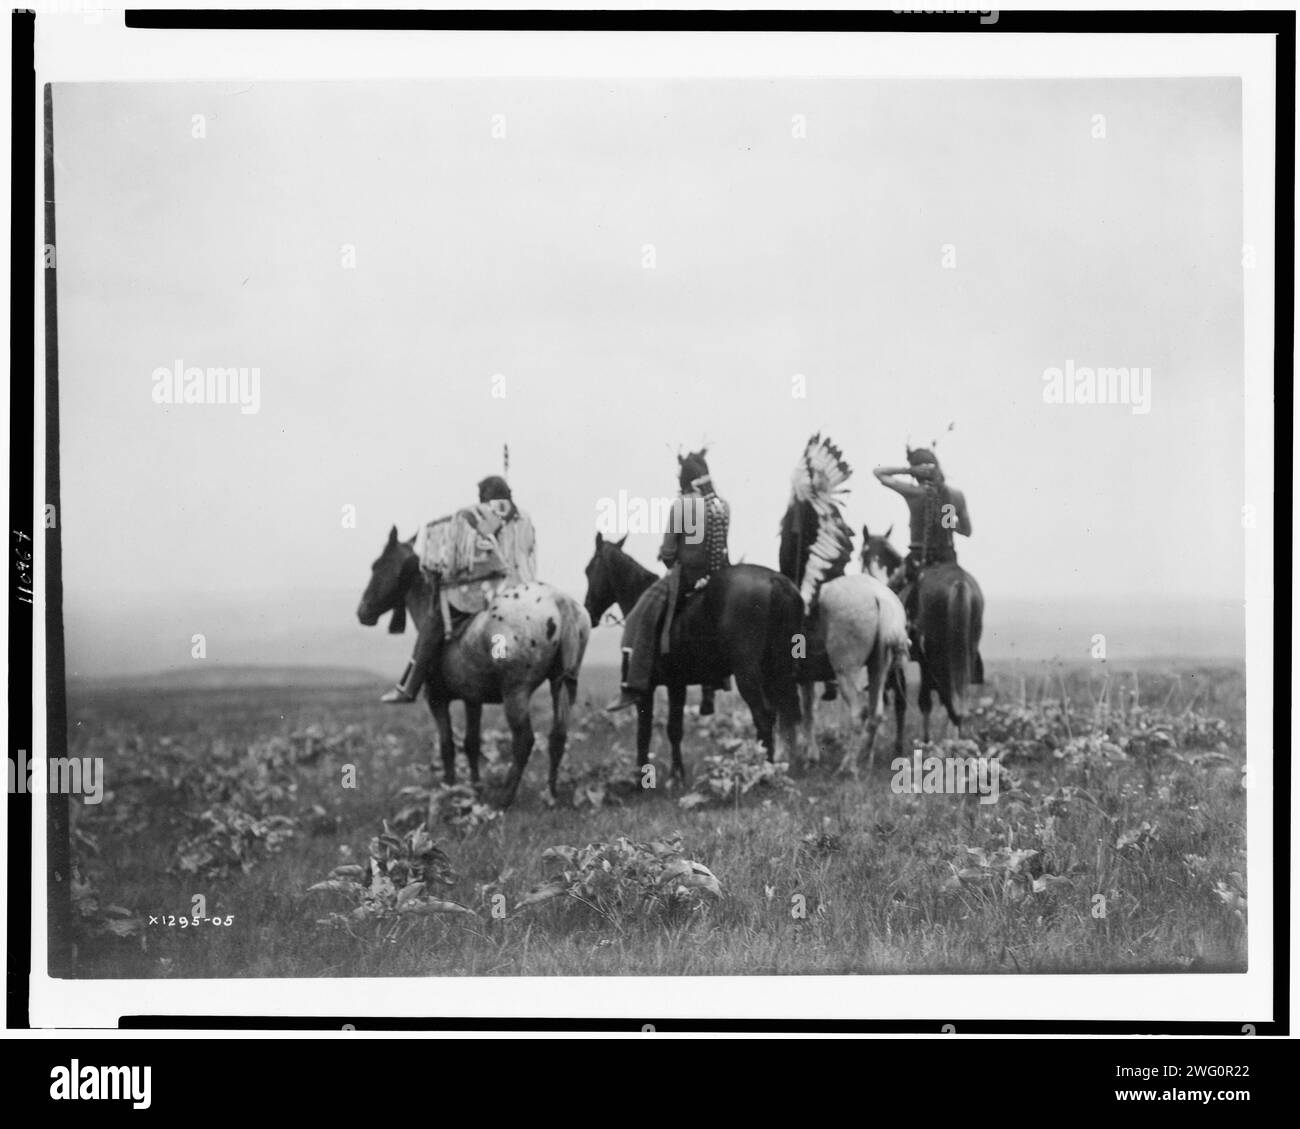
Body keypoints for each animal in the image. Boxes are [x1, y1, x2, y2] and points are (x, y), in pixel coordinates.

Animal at [357, 526, 590, 807]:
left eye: (377, 566)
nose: (363, 612)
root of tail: (559, 602)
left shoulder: (437, 700)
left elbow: (447, 745)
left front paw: (448, 788)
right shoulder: (473, 700)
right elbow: (471, 743)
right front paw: (474, 787)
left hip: (516, 692)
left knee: (524, 740)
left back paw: (505, 797)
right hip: (561, 685)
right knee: (558, 736)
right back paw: (551, 793)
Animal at [582, 532, 802, 783]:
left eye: (589, 570)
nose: (589, 612)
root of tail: (776, 581)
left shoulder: (646, 690)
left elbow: (644, 732)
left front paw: (641, 779)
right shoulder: (677, 685)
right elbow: (674, 729)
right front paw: (677, 775)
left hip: (747, 673)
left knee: (763, 716)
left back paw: (763, 771)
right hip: (775, 670)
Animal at [860, 525, 984, 742]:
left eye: (861, 555)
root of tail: (959, 583)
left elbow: (902, 702)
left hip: (933, 658)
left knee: (939, 701)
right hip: (962, 654)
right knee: (956, 700)